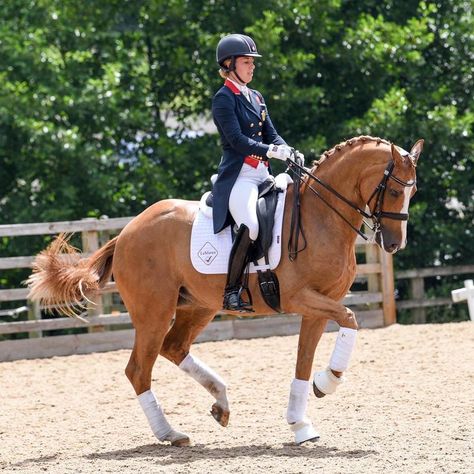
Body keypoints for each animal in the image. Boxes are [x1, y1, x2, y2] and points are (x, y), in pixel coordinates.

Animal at [27, 135, 424, 446]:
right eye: (392, 189)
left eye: (413, 191)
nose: (394, 244)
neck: (319, 217)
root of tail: (127, 232)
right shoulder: (303, 298)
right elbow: (351, 320)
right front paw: (327, 383)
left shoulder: (319, 305)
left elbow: (305, 359)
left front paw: (301, 424)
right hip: (153, 312)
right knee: (139, 369)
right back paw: (170, 433)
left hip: (197, 306)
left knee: (174, 348)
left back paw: (221, 404)